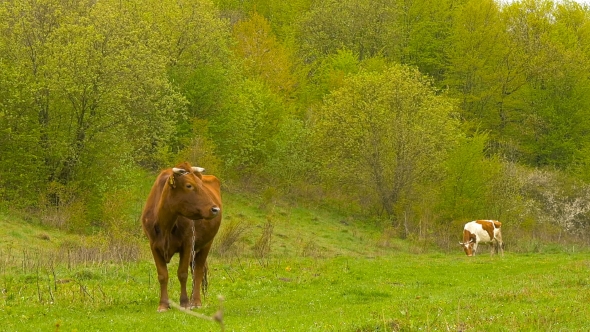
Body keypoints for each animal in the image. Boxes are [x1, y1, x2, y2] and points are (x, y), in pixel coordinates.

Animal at [142, 162, 223, 312]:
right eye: (189, 185)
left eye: (201, 184)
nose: (215, 209)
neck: (165, 224)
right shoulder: (154, 246)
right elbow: (162, 275)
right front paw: (163, 304)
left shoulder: (187, 244)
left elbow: (183, 273)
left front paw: (184, 303)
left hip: (206, 243)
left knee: (198, 271)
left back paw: (195, 301)